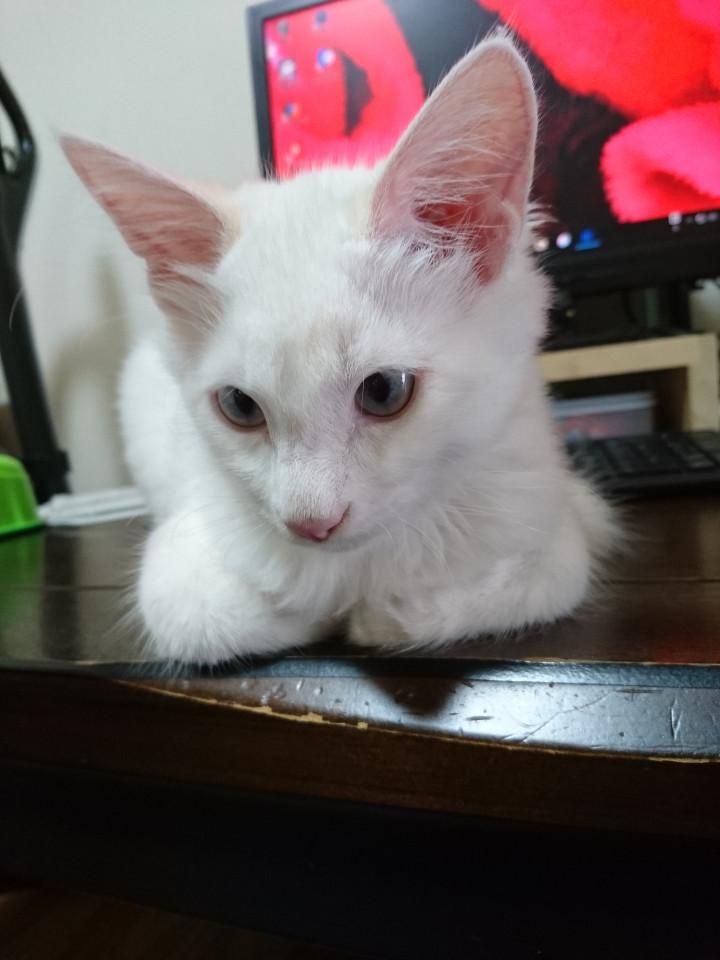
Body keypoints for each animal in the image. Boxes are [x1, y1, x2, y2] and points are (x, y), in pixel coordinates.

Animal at [63, 36, 614, 664]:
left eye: (385, 391)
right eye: (239, 406)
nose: (311, 524)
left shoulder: (557, 519)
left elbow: (507, 585)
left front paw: (381, 611)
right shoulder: (179, 568)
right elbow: (209, 614)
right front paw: (317, 605)